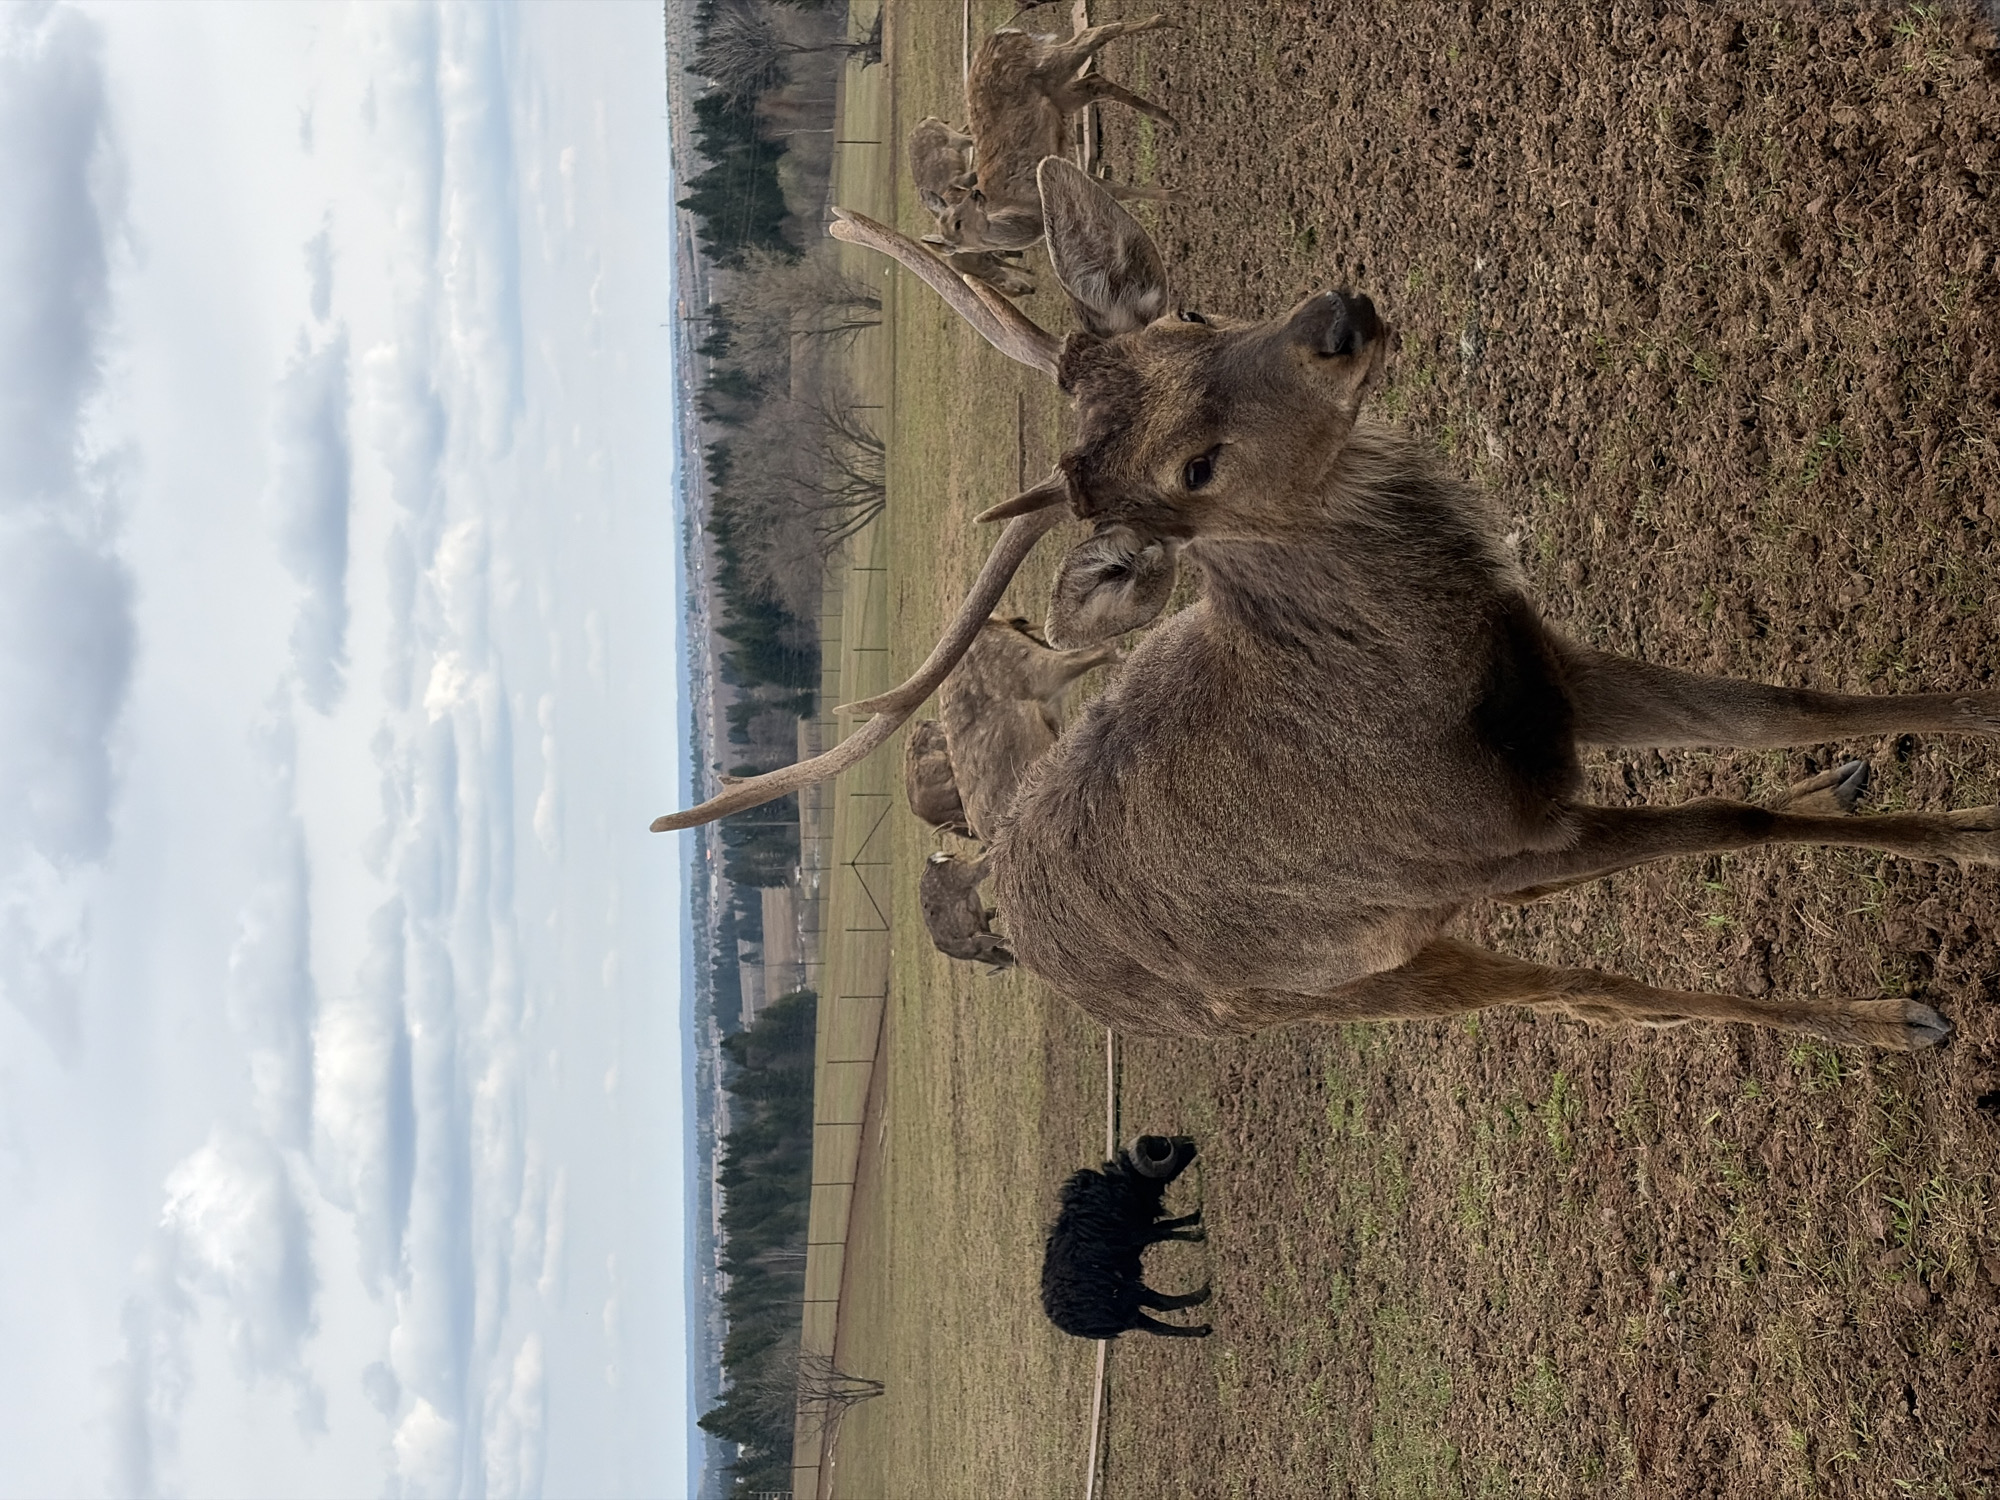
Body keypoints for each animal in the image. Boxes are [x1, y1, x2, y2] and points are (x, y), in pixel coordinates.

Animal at [655, 156, 2000, 1054]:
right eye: (1191, 470)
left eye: (1190, 316)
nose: (1334, 317)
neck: (1422, 685)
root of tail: (1020, 926)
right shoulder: (1520, 827)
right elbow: (1730, 820)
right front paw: (1958, 882)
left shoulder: (1548, 678)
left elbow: (1783, 705)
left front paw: (1961, 746)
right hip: (1342, 984)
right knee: (1584, 989)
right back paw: (1878, 1020)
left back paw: (1837, 787)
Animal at [937, 17, 1177, 256]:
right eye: (955, 223)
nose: (976, 194)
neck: (1026, 210)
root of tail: (1003, 33)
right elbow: (1118, 192)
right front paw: (1175, 193)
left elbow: (1120, 192)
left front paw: (1177, 195)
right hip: (1059, 95)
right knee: (1094, 79)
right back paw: (1171, 121)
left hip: (1047, 65)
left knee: (1093, 35)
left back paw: (1165, 21)